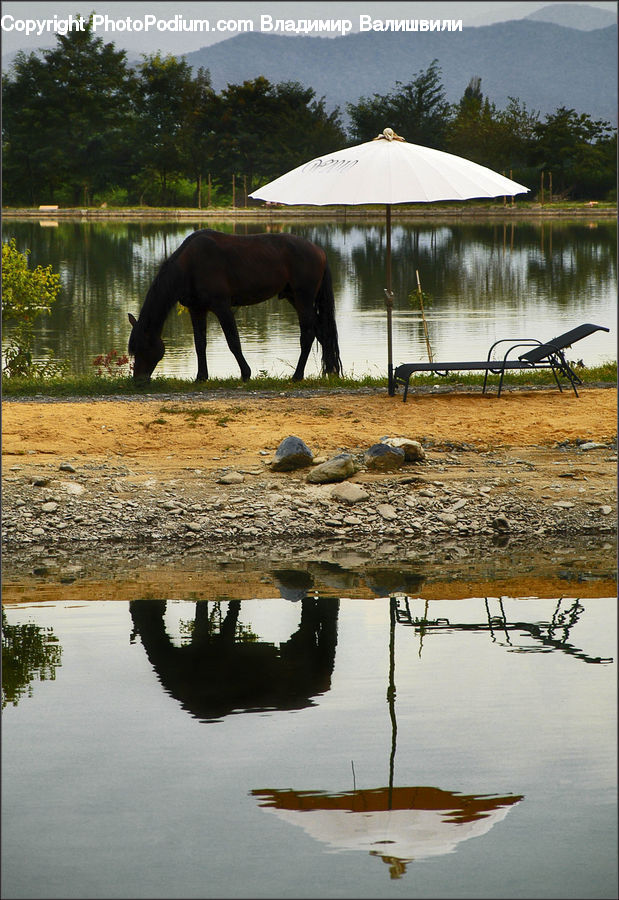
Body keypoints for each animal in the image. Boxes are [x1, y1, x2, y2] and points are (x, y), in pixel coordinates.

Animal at [127, 228, 342, 383]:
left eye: (142, 346)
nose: (138, 380)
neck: (190, 265)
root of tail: (319, 251)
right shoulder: (197, 310)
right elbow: (200, 344)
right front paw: (201, 377)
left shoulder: (222, 307)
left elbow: (233, 341)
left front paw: (245, 373)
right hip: (293, 297)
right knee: (322, 331)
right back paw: (332, 371)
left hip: (303, 297)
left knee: (308, 334)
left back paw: (297, 376)